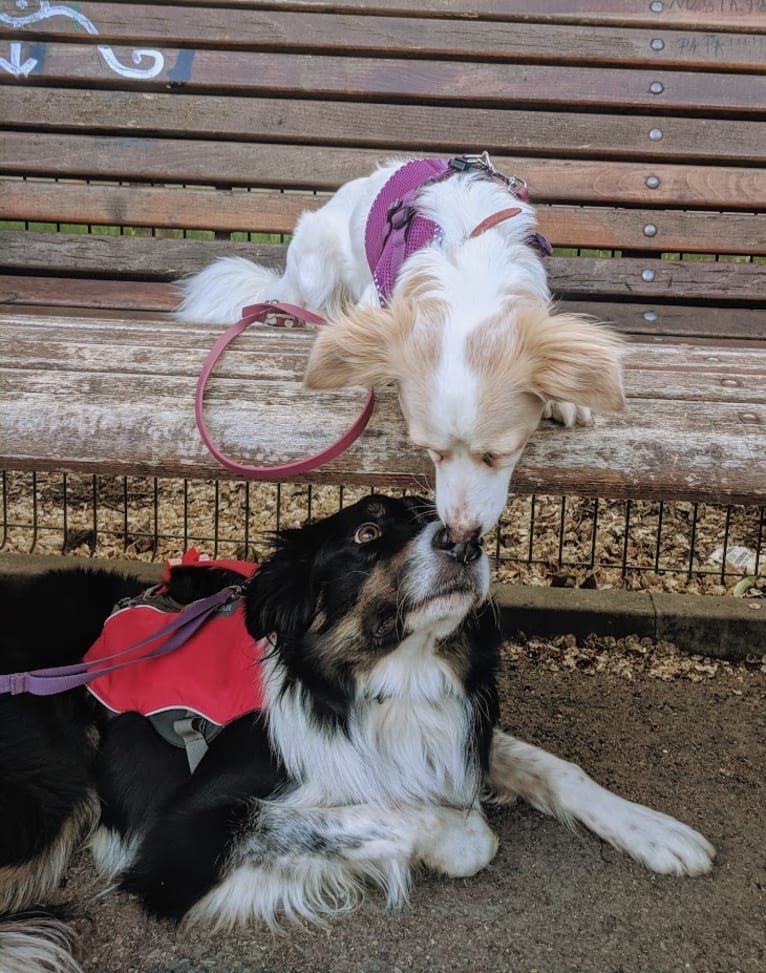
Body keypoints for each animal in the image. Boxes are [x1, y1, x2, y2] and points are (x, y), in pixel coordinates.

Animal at [3, 498, 716, 968]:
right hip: (51, 795)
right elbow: (401, 819)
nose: (467, 540)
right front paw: (458, 831)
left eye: (436, 512)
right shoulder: (175, 841)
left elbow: (554, 768)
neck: (385, 680)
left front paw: (657, 831)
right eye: (367, 532)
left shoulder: (446, 736)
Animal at [178, 156, 624, 544]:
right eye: (430, 451)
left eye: (498, 455)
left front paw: (567, 399)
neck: (465, 257)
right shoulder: (375, 303)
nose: (460, 534)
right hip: (316, 261)